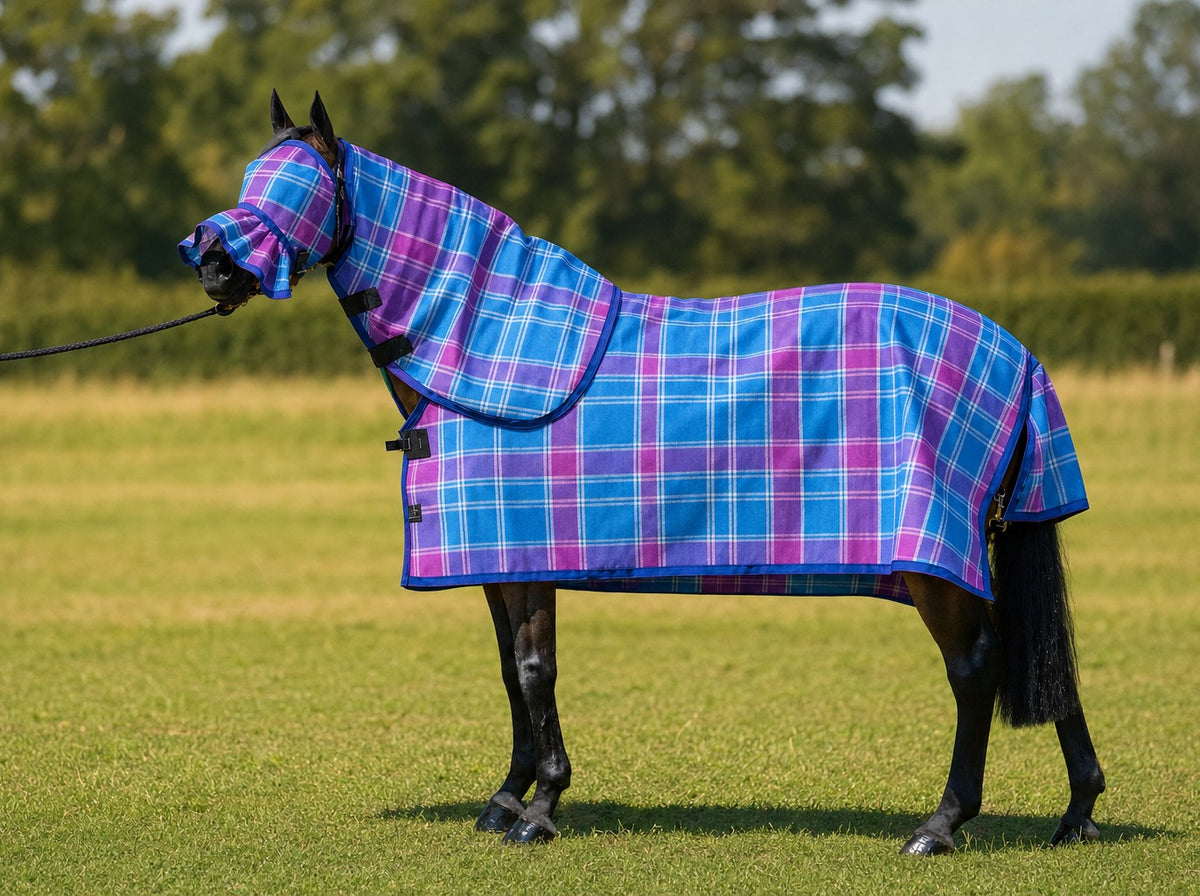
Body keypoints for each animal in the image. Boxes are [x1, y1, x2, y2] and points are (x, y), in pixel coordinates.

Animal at [179, 91, 1105, 854]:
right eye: (252, 177)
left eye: (299, 187)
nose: (212, 263)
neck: (482, 346)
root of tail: (1014, 351)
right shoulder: (500, 561)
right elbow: (509, 674)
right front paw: (505, 801)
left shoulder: (530, 555)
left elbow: (535, 671)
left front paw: (541, 811)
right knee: (1031, 657)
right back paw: (1078, 812)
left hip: (933, 565)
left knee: (976, 668)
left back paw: (941, 825)